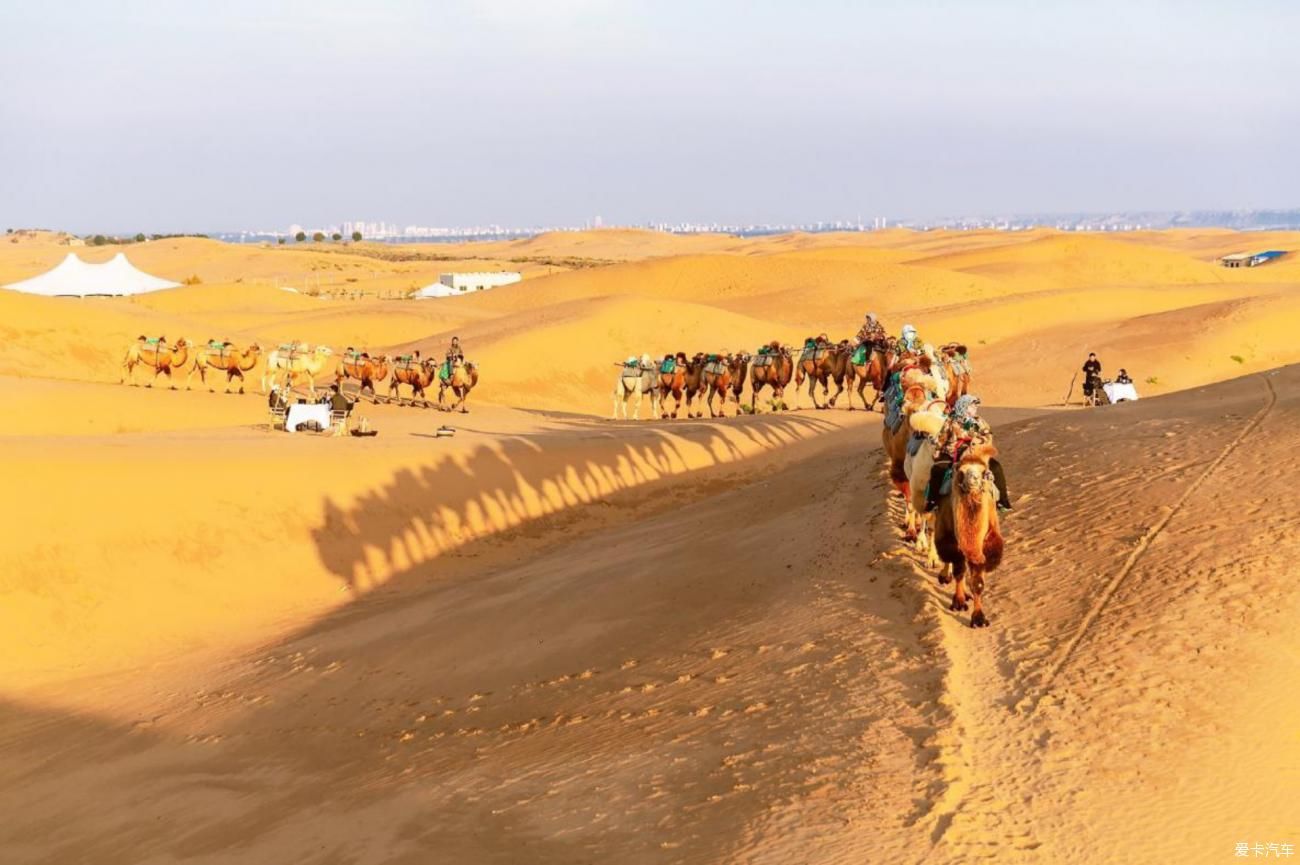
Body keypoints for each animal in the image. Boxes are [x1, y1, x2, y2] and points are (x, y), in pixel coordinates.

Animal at [935, 444, 1003, 626]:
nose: (972, 481)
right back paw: (944, 576)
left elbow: (978, 582)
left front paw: (979, 618)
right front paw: (958, 602)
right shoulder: (950, 538)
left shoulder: (984, 545)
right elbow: (959, 569)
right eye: (961, 471)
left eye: (984, 473)